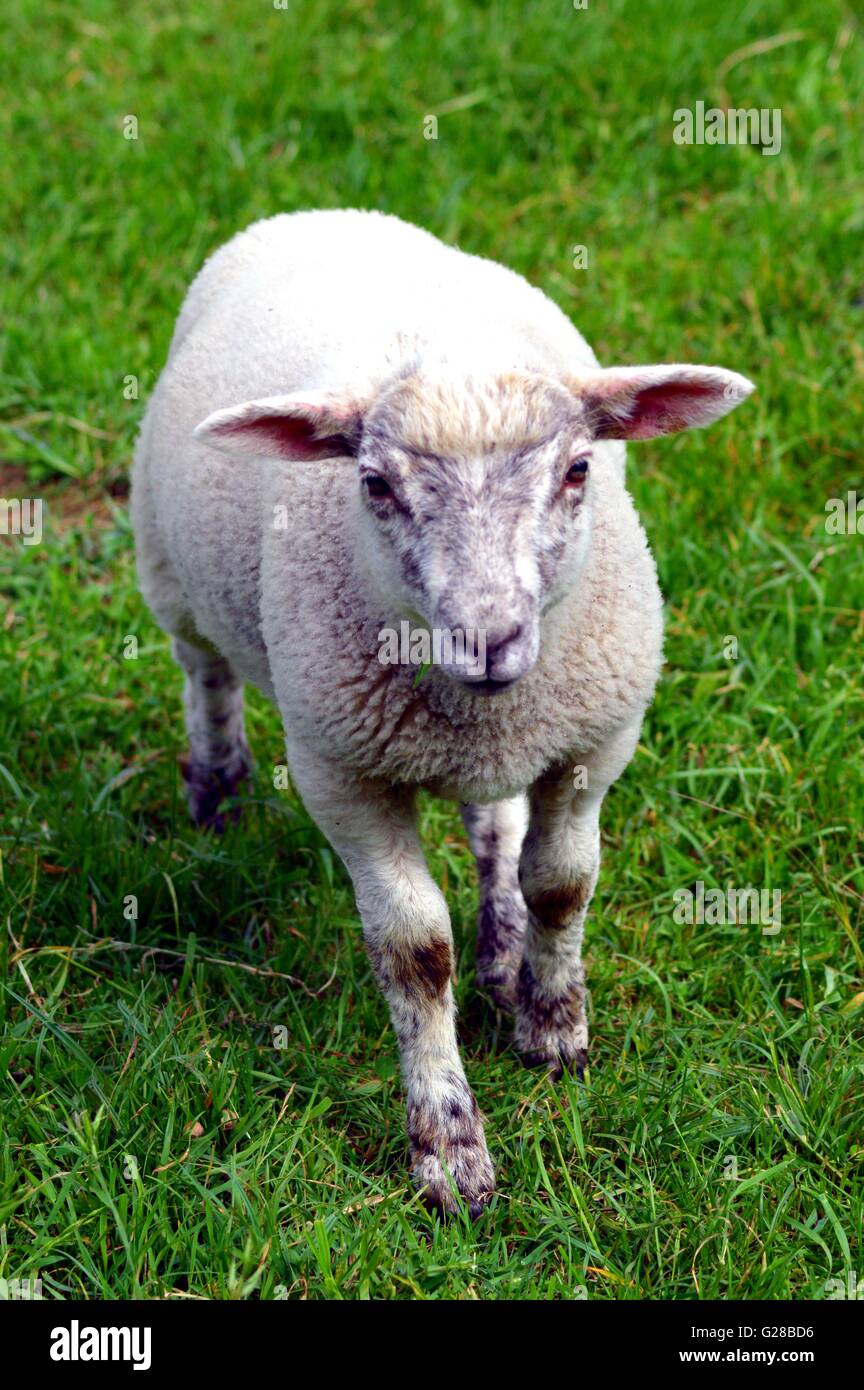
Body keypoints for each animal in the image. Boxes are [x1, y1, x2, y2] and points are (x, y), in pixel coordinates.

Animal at [130, 208, 755, 1217]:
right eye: (375, 485)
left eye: (579, 469)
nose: (488, 638)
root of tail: (321, 211)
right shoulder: (341, 773)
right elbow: (414, 952)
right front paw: (447, 1144)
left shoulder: (591, 742)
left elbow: (562, 883)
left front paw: (553, 1029)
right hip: (168, 571)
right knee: (205, 671)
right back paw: (217, 788)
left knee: (493, 821)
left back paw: (501, 945)